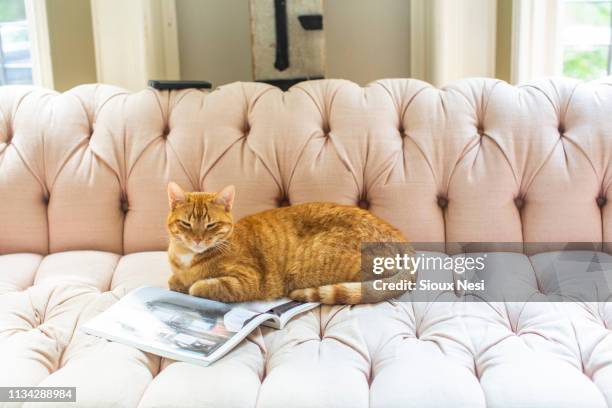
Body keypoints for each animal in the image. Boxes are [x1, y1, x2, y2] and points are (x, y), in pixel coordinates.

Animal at [166, 183, 416, 304]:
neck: (188, 258)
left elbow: (200, 286)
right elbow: (174, 281)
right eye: (187, 224)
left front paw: (192, 285)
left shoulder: (248, 281)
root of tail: (400, 236)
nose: (197, 239)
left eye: (211, 225)